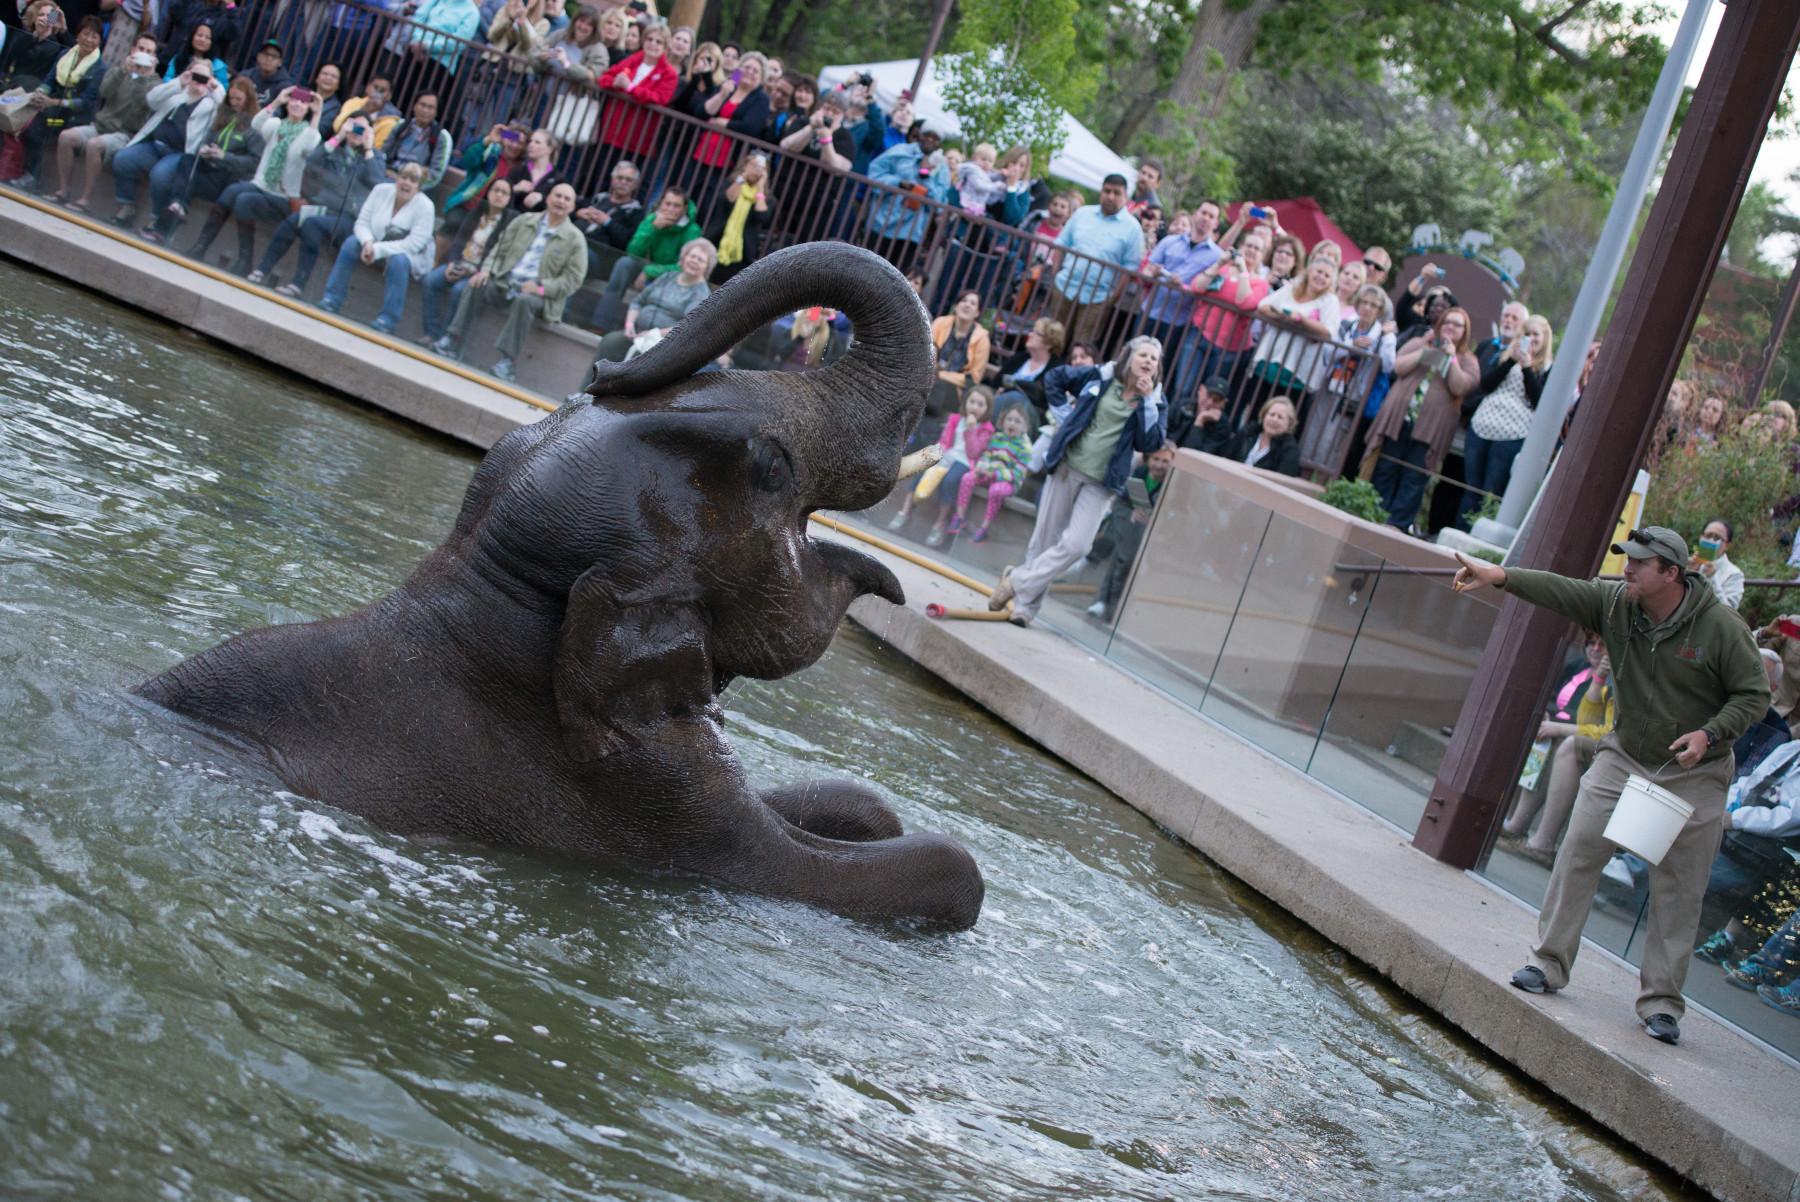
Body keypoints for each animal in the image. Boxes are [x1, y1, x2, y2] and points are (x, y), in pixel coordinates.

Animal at [136, 237, 986, 928]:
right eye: (770, 468)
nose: (609, 366)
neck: (485, 594)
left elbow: (850, 803)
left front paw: (862, 811)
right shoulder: (629, 813)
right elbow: (920, 869)